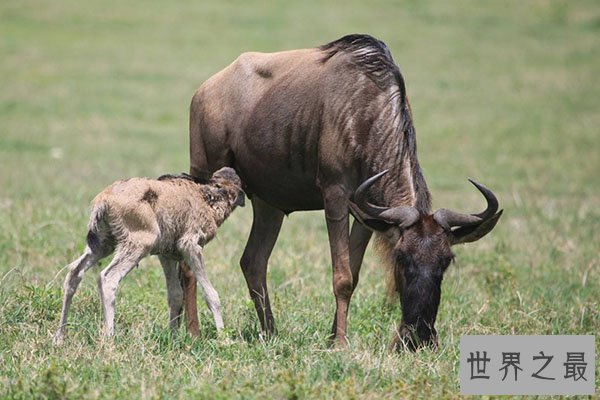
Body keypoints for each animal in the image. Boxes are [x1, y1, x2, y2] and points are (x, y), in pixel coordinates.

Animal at [52, 167, 245, 346]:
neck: (208, 197)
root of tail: (104, 200)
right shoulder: (190, 246)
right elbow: (211, 295)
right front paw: (225, 340)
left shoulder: (166, 255)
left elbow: (175, 295)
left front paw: (173, 338)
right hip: (139, 244)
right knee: (108, 278)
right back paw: (110, 338)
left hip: (102, 244)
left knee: (74, 271)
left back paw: (60, 337)